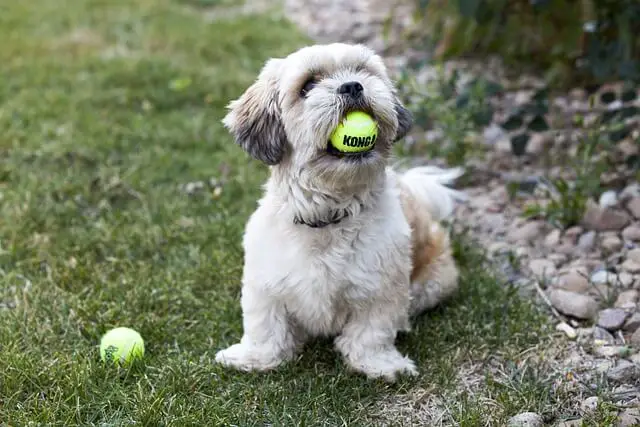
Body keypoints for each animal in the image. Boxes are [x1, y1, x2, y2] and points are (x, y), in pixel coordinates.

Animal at [215, 42, 464, 384]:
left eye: (362, 71)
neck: (328, 214)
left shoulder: (381, 288)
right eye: (307, 86)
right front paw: (254, 358)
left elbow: (372, 332)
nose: (352, 86)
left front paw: (379, 364)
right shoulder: (265, 284)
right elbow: (265, 326)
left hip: (434, 282)